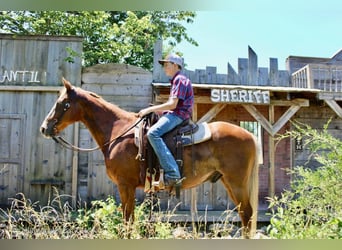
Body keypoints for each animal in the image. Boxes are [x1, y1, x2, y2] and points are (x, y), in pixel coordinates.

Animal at [40, 79, 260, 237]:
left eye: (63, 103)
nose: (44, 128)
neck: (118, 131)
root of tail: (250, 136)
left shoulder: (125, 185)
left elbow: (127, 220)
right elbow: (130, 219)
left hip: (236, 182)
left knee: (247, 214)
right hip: (229, 182)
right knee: (244, 215)